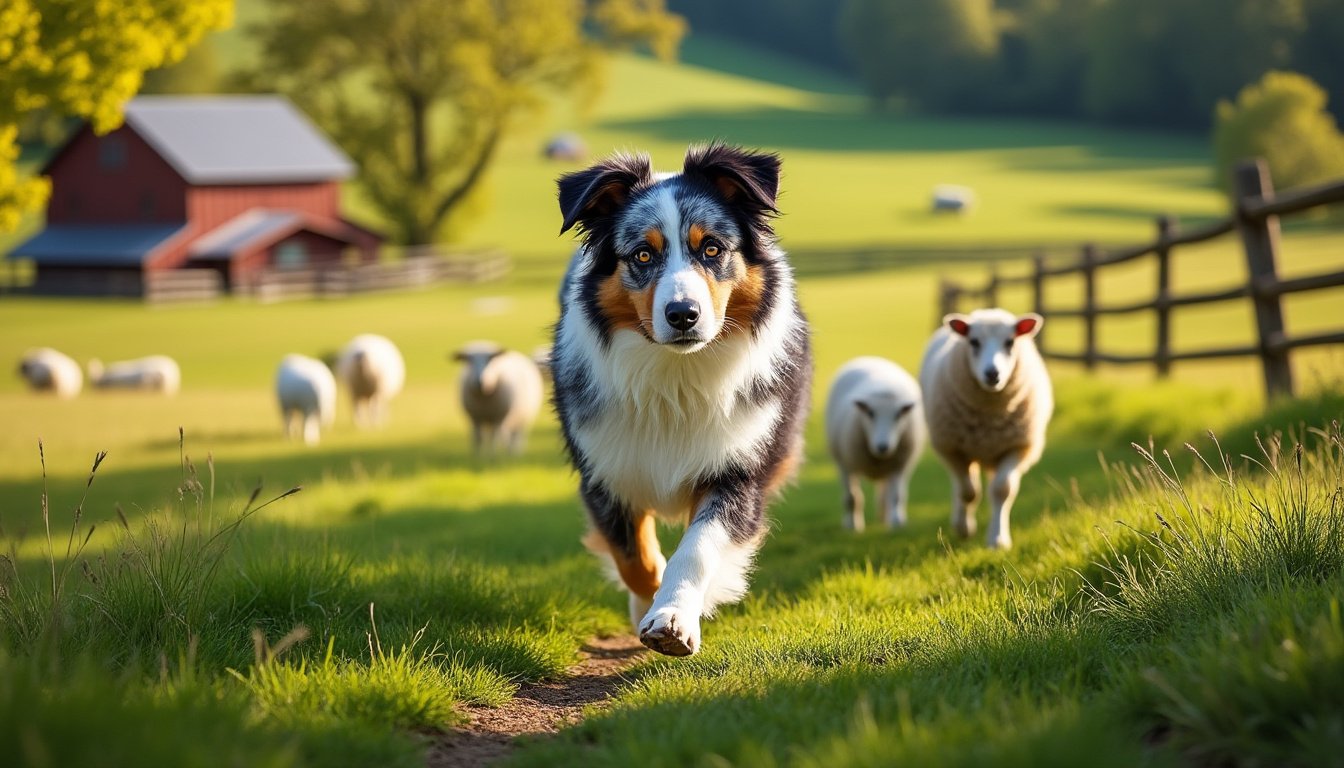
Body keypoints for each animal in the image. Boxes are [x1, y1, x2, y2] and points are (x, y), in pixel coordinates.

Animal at [553, 142, 811, 656]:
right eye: (643, 254)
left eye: (711, 248)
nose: (683, 314)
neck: (676, 375)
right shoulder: (605, 470)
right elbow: (635, 558)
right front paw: (648, 605)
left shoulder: (737, 467)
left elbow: (698, 548)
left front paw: (674, 617)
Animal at [822, 355, 930, 532]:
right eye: (870, 413)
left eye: (898, 415)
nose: (883, 446)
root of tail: (870, 358)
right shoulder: (846, 465)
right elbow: (852, 498)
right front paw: (853, 526)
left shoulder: (898, 465)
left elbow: (896, 496)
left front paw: (896, 523)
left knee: (891, 494)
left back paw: (888, 517)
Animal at [919, 309, 1053, 548]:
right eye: (973, 341)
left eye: (1010, 342)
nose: (992, 373)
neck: (989, 417)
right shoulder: (953, 449)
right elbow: (968, 492)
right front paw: (964, 528)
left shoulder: (1018, 446)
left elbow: (1002, 491)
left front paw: (998, 539)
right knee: (961, 486)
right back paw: (960, 520)